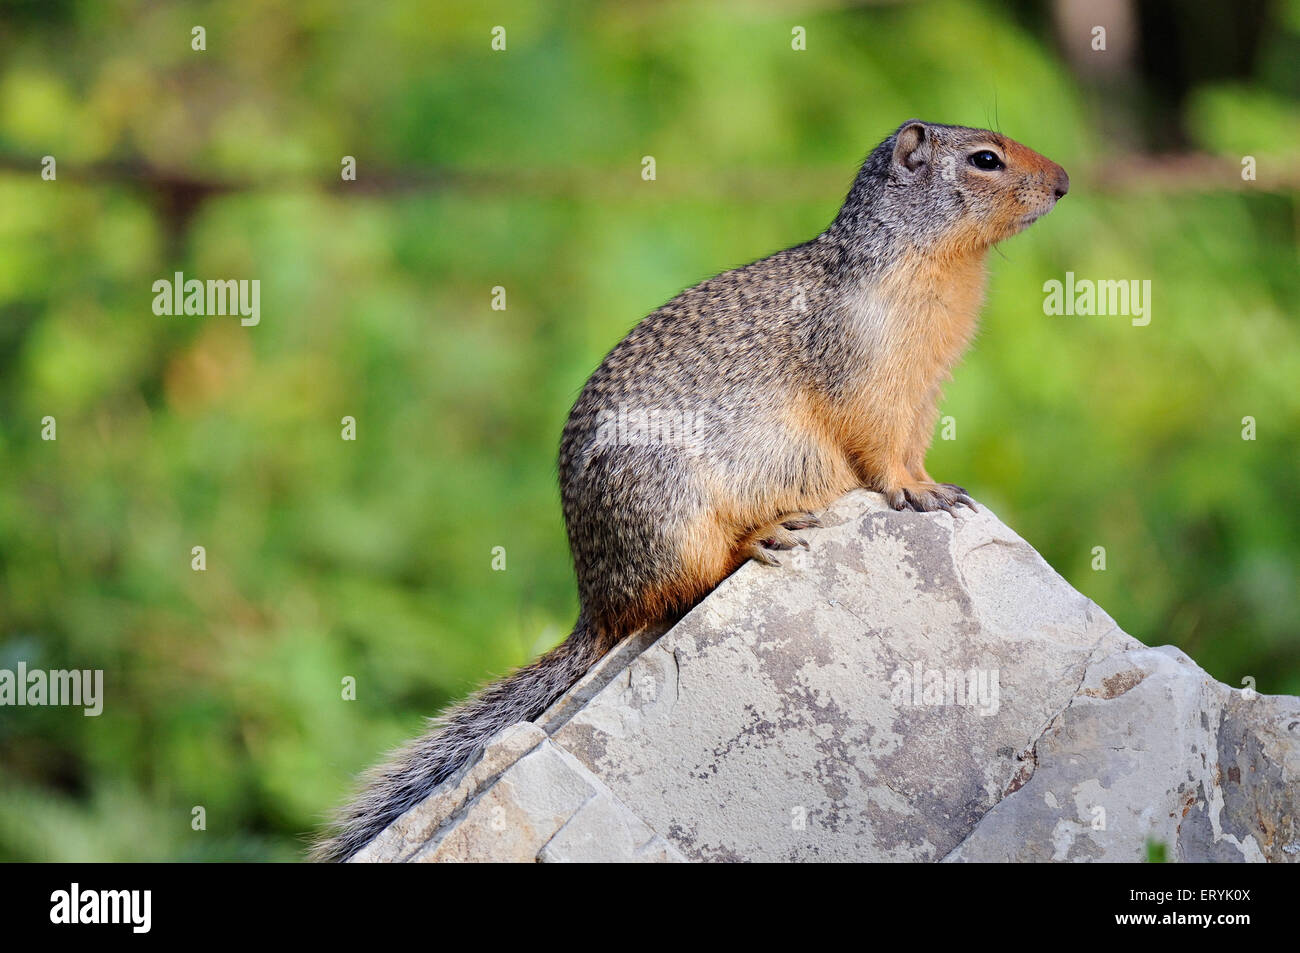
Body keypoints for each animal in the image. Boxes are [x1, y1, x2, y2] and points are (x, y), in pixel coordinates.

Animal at [314, 120, 1066, 863]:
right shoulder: (869, 374)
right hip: (671, 514)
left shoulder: (926, 391)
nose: (1063, 181)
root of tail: (596, 603)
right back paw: (761, 534)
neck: (924, 262)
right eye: (986, 159)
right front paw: (918, 494)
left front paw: (938, 483)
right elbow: (881, 450)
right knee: (684, 587)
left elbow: (911, 446)